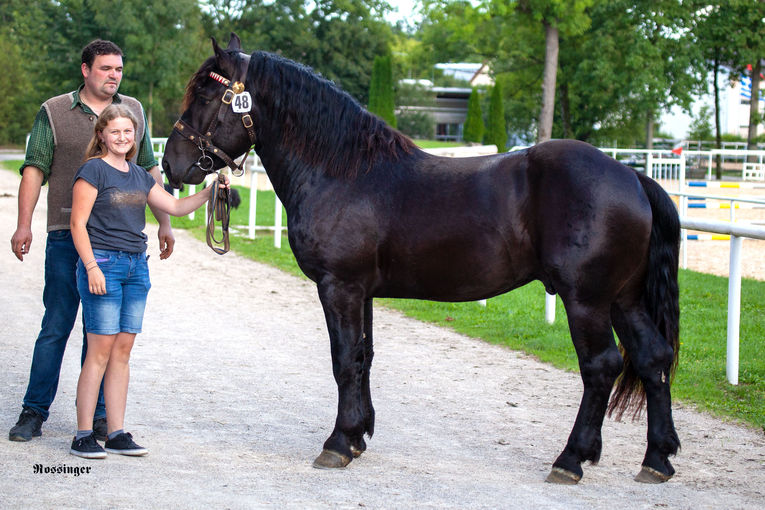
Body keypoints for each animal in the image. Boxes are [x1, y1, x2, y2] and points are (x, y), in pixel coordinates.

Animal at [163, 34, 680, 482]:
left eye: (207, 96)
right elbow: (364, 357)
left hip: (587, 301)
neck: (341, 171)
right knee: (653, 357)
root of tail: (634, 178)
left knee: (602, 366)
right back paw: (656, 459)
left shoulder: (339, 286)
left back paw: (571, 459)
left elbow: (343, 359)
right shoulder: (362, 292)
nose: (171, 164)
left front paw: (337, 443)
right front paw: (358, 437)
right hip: (623, 299)